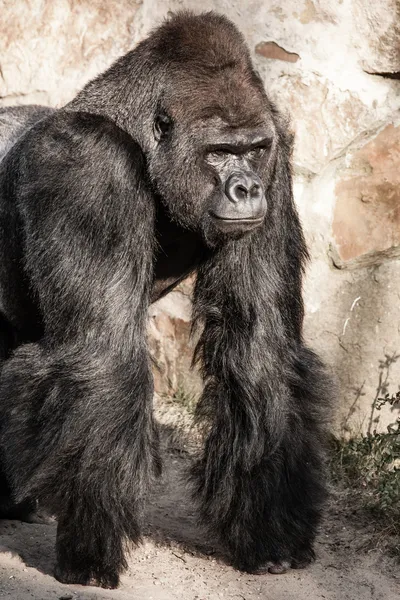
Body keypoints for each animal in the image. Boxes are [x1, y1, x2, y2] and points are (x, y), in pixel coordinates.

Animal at [0, 9, 332, 592]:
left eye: (254, 150)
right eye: (219, 153)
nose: (247, 189)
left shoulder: (278, 162)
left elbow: (259, 350)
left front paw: (269, 531)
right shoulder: (89, 165)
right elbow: (104, 355)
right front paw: (90, 551)